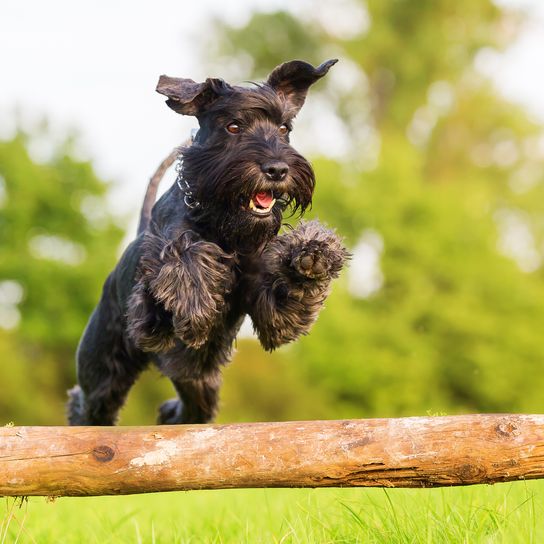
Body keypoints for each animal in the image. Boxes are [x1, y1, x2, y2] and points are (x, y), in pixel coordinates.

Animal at [68, 59, 348, 424]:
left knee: (186, 411)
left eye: (284, 128)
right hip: (103, 372)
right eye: (233, 126)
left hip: (199, 385)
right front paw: (199, 298)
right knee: (86, 402)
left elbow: (287, 301)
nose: (277, 169)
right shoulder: (147, 312)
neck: (225, 228)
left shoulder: (274, 311)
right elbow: (183, 256)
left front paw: (313, 253)